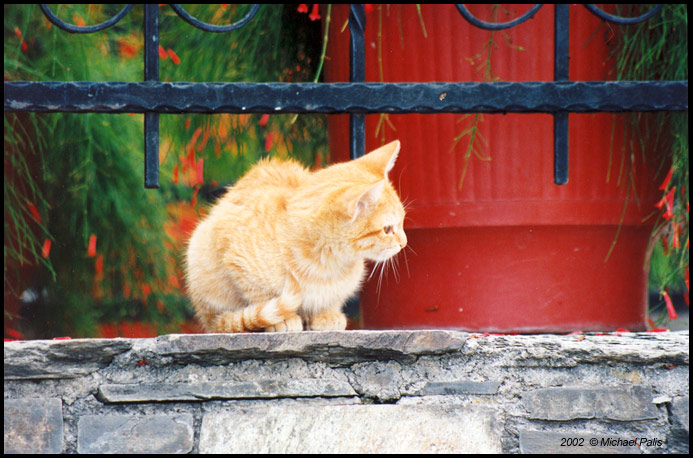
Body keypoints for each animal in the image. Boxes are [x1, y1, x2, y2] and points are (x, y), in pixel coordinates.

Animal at [187, 140, 408, 332]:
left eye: (402, 222)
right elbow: (262, 295)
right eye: (388, 229)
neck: (328, 264)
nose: (404, 243)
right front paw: (282, 319)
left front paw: (327, 314)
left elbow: (332, 299)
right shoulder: (236, 259)